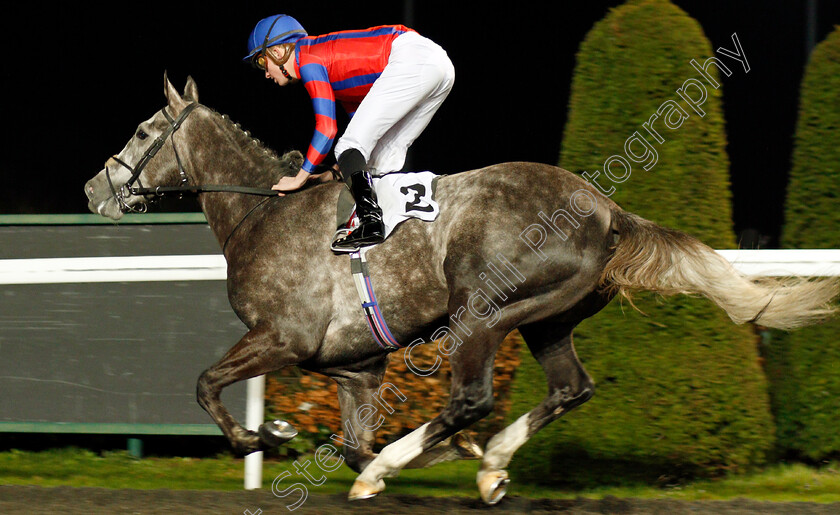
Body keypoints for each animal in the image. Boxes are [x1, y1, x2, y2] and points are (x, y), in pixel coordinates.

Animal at [85, 76, 840, 504]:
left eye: (145, 131)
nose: (95, 188)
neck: (262, 215)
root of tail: (608, 210)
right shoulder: (356, 367)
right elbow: (351, 439)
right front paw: (441, 455)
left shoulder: (283, 338)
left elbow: (205, 383)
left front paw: (258, 435)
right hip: (546, 319)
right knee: (569, 388)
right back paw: (490, 463)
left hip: (483, 311)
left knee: (472, 397)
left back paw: (429, 462)